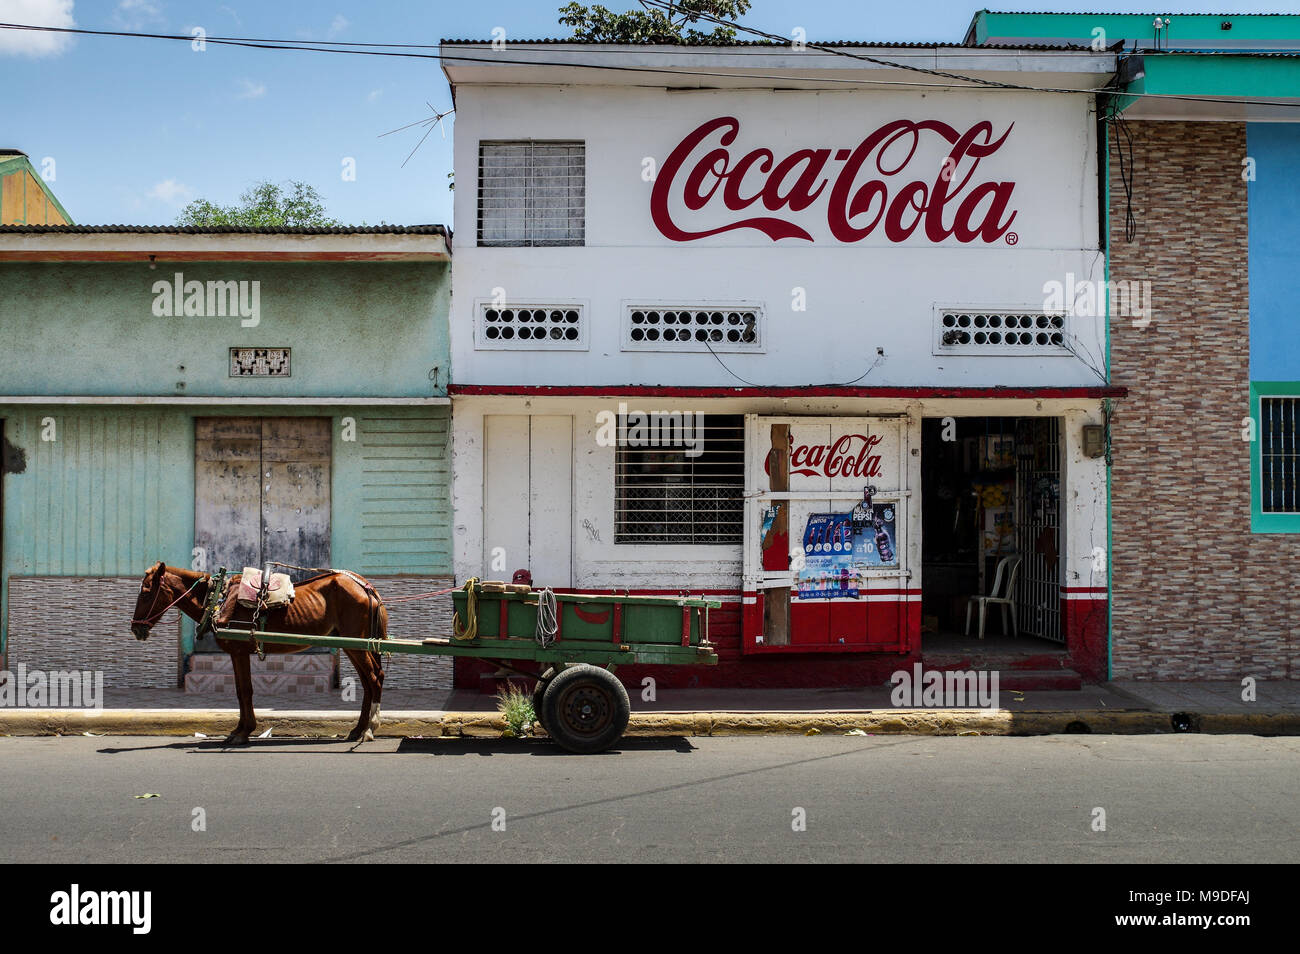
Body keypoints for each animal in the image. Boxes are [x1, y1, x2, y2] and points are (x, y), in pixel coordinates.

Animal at [131, 566, 387, 748]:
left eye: (146, 592)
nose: (135, 629)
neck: (218, 599)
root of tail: (365, 586)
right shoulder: (236, 653)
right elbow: (240, 691)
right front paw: (238, 730)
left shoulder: (239, 651)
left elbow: (245, 691)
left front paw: (244, 732)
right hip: (352, 644)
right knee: (368, 680)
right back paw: (357, 729)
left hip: (356, 644)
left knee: (374, 678)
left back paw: (369, 729)